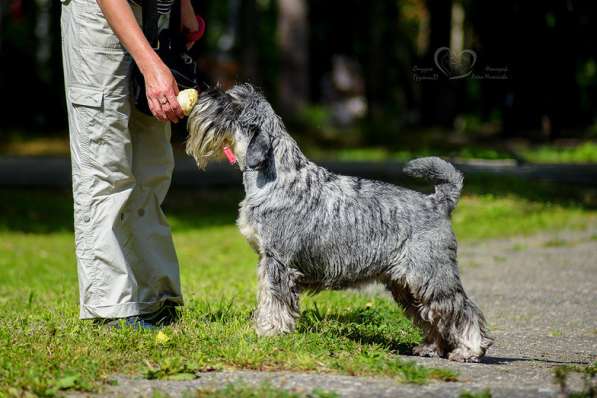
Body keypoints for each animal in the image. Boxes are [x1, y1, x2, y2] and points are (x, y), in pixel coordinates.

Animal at [184, 84, 492, 364]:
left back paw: (469, 349)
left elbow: (273, 299)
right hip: (405, 284)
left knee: (461, 309)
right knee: (431, 314)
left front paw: (269, 331)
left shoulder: (277, 262)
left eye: (231, 103)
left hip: (430, 275)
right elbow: (268, 297)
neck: (276, 177)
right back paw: (431, 347)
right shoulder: (268, 260)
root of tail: (438, 202)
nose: (207, 92)